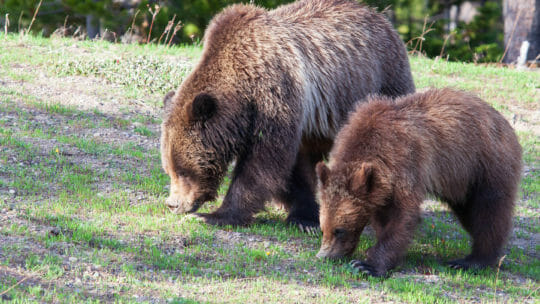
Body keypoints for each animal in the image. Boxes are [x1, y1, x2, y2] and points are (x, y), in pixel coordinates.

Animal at [159, 0, 414, 228]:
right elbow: (294, 168)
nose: (173, 204)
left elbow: (264, 162)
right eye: (169, 169)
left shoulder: (276, 96)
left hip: (384, 81)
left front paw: (217, 215)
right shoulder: (298, 119)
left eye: (183, 171)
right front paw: (303, 216)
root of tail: (380, 17)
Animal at [316, 88, 524, 276]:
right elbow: (384, 218)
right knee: (469, 213)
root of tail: (504, 122)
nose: (324, 256)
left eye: (339, 230)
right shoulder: (380, 188)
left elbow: (402, 216)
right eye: (323, 228)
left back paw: (472, 260)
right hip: (462, 183)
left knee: (488, 212)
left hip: (485, 165)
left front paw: (367, 265)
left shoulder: (406, 164)